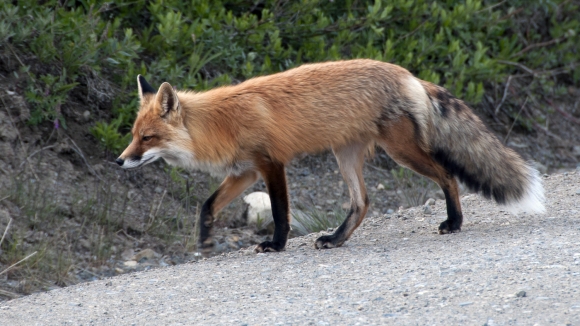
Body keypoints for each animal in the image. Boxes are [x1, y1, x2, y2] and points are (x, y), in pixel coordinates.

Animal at [116, 59, 544, 255]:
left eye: (147, 138)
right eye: (133, 136)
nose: (119, 161)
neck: (221, 123)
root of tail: (406, 73)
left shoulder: (270, 164)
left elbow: (280, 214)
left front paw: (276, 245)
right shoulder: (244, 172)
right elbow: (206, 205)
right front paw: (205, 239)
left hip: (401, 152)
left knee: (448, 176)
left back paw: (454, 222)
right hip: (346, 156)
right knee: (362, 203)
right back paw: (337, 239)